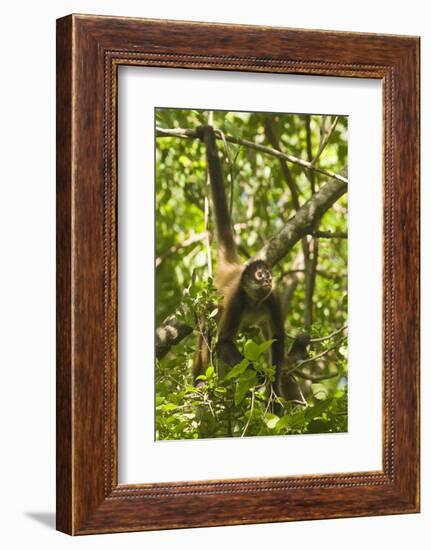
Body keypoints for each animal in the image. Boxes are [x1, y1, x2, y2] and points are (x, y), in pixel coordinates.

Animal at [194, 126, 286, 396]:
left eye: (268, 275)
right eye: (260, 275)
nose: (267, 280)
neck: (254, 300)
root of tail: (232, 266)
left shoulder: (272, 298)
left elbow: (278, 338)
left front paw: (274, 390)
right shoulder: (237, 299)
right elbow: (223, 343)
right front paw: (261, 377)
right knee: (204, 332)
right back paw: (199, 381)